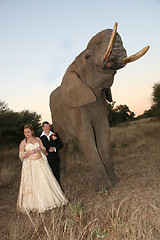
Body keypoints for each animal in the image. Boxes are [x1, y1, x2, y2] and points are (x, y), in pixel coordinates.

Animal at [49, 23, 149, 191]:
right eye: (87, 56)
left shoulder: (100, 103)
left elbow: (103, 132)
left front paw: (114, 181)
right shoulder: (76, 107)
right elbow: (86, 134)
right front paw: (104, 189)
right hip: (56, 120)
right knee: (63, 145)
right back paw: (63, 177)